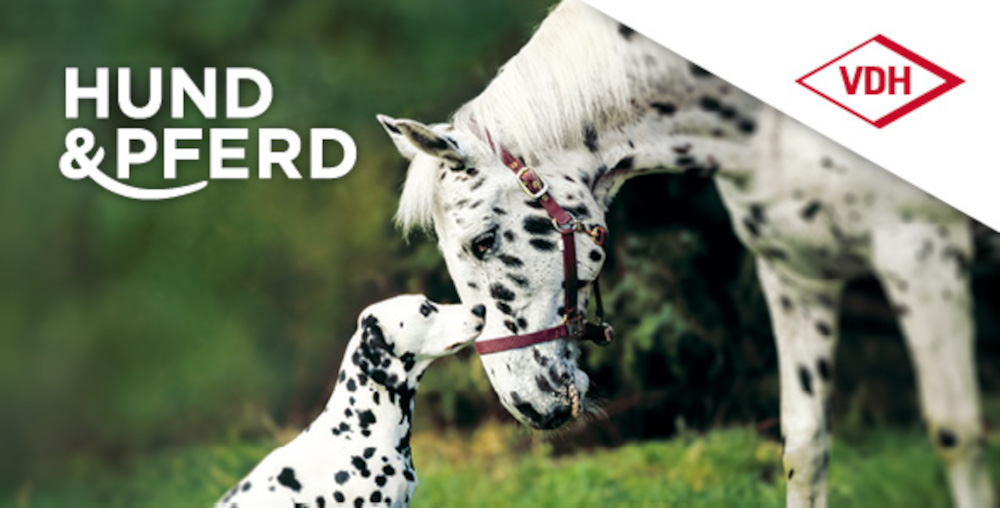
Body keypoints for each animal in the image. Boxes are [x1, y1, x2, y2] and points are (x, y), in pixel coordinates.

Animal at [377, 1, 994, 506]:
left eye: (483, 241)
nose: (527, 405)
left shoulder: (920, 255)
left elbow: (956, 434)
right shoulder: (796, 274)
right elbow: (805, 444)